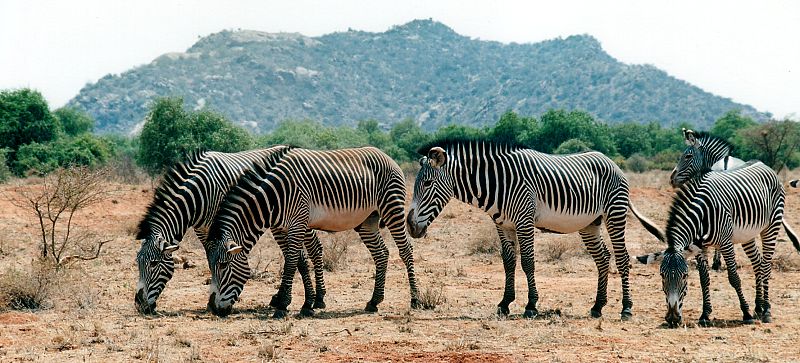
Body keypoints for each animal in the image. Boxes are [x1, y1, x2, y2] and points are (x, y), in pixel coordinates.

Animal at [134, 146, 324, 318]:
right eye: (138, 263)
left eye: (153, 264)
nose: (140, 305)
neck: (199, 194)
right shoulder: (203, 230)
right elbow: (211, 258)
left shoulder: (217, 227)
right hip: (280, 223)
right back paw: (285, 299)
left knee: (311, 250)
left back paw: (315, 300)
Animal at [203, 147, 422, 318]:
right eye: (211, 266)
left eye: (223, 265)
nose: (213, 308)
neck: (274, 196)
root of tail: (386, 155)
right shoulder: (287, 226)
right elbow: (300, 261)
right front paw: (308, 303)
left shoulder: (298, 222)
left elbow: (291, 262)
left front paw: (283, 305)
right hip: (367, 220)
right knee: (381, 254)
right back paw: (374, 301)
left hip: (391, 208)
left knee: (406, 250)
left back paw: (416, 299)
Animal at [406, 138, 656, 320]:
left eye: (427, 184)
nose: (410, 226)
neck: (497, 183)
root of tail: (612, 162)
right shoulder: (502, 225)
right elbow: (508, 262)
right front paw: (505, 303)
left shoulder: (524, 221)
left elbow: (527, 262)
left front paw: (531, 305)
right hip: (590, 224)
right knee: (603, 258)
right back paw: (598, 306)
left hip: (614, 213)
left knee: (622, 258)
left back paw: (626, 308)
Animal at [636, 162, 800, 328]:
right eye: (662, 275)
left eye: (685, 275)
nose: (673, 318)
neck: (702, 214)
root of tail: (764, 165)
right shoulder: (700, 248)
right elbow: (704, 280)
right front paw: (705, 315)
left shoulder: (726, 243)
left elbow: (734, 278)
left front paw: (746, 314)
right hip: (748, 235)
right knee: (758, 264)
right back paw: (758, 307)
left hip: (772, 225)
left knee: (766, 266)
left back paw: (766, 310)